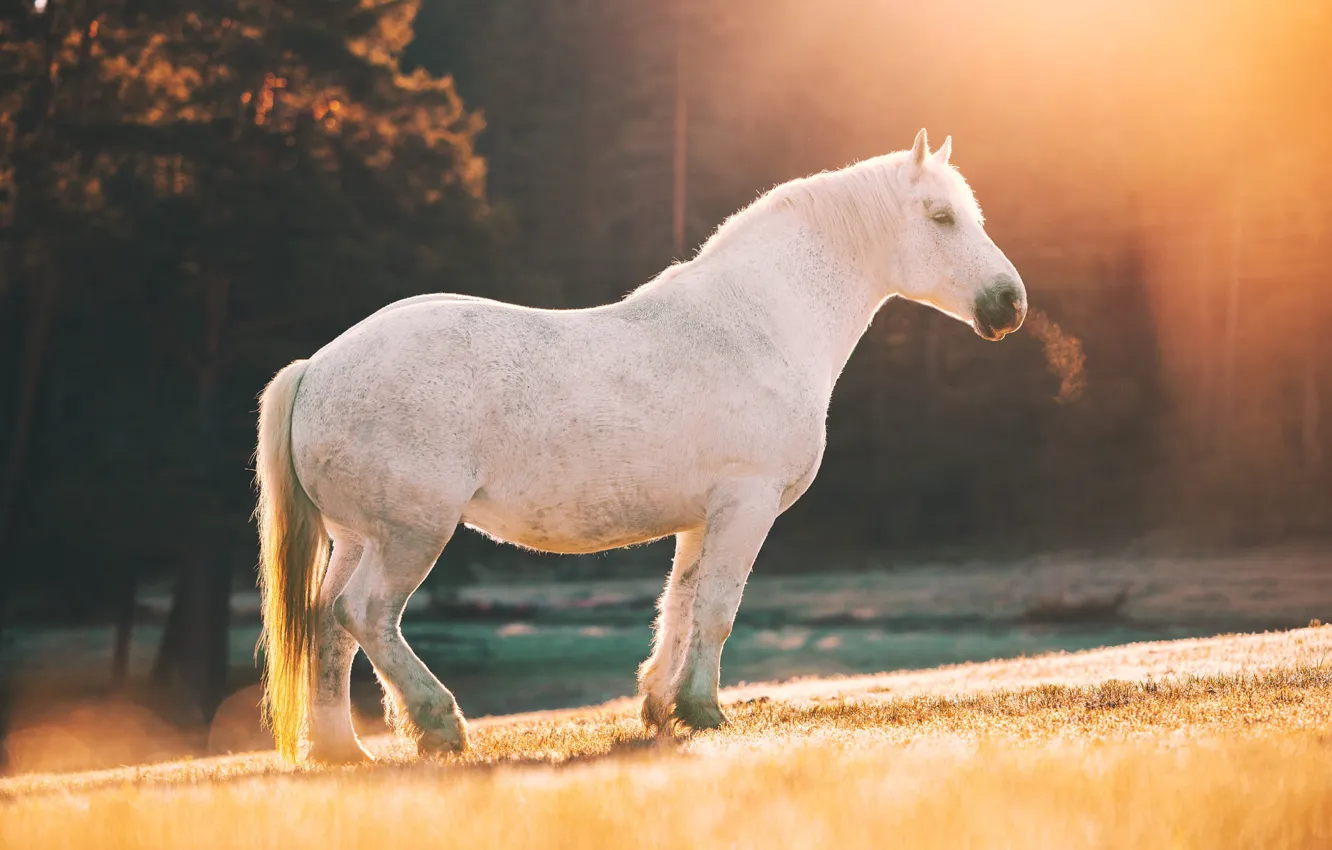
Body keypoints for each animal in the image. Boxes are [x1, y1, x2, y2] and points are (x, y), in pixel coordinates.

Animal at [253, 128, 1028, 763]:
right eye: (941, 217)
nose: (1009, 304)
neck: (761, 323)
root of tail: (317, 367)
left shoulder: (703, 519)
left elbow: (679, 607)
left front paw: (661, 707)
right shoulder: (746, 506)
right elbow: (717, 610)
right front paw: (703, 710)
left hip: (358, 537)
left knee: (327, 626)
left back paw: (341, 749)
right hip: (412, 533)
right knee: (366, 615)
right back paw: (438, 724)